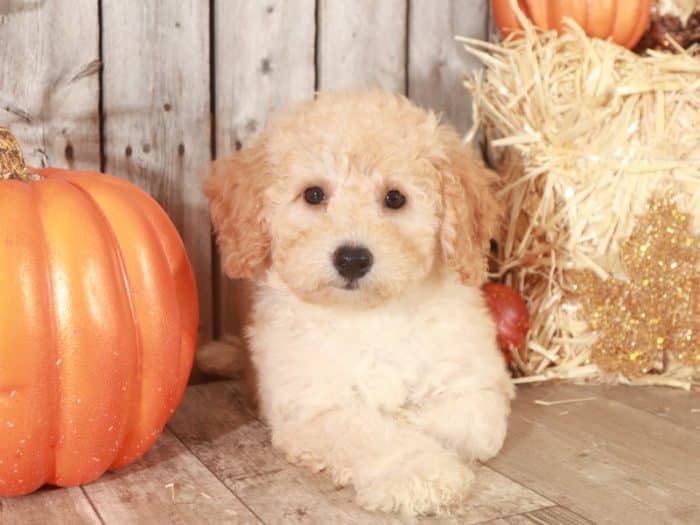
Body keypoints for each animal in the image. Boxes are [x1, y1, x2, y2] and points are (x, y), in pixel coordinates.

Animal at [205, 90, 512, 516]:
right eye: (314, 194)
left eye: (395, 198)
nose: (352, 258)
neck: (370, 317)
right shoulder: (314, 406)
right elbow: (373, 431)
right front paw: (420, 472)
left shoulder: (476, 385)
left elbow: (463, 422)